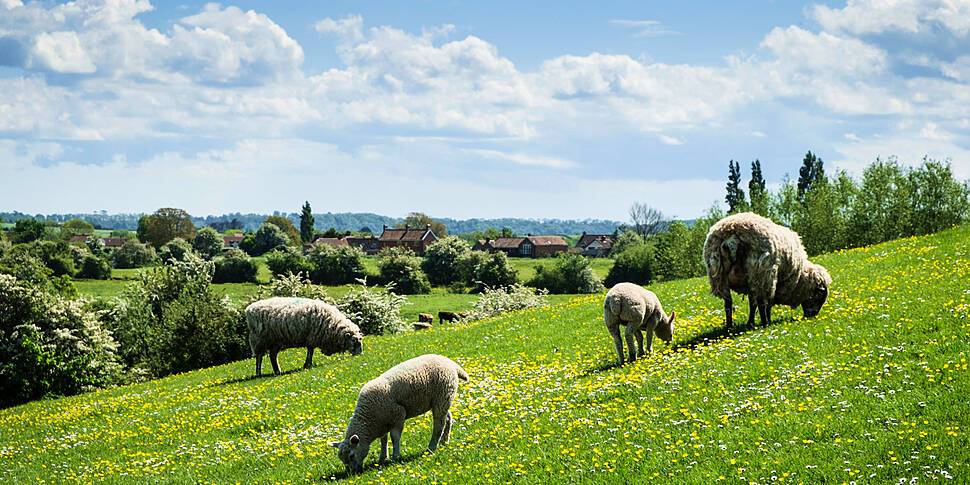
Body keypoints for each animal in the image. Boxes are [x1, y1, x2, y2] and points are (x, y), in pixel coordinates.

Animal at [328, 352, 466, 472]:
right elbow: (383, 440)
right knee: (448, 417)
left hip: (442, 396)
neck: (368, 418)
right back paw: (444, 441)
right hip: (443, 400)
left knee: (439, 424)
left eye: (351, 455)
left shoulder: (398, 415)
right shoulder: (383, 423)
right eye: (341, 458)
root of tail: (449, 362)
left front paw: (396, 457)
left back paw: (431, 447)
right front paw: (383, 457)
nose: (351, 472)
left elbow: (395, 438)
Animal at [704, 211, 832, 326]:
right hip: (762, 273)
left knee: (728, 303)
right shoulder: (775, 281)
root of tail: (732, 233)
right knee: (761, 302)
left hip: (720, 276)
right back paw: (765, 323)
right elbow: (768, 303)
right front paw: (767, 320)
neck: (800, 278)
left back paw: (730, 326)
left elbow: (752, 302)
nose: (812, 316)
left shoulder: (752, 282)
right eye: (820, 296)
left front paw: (750, 322)